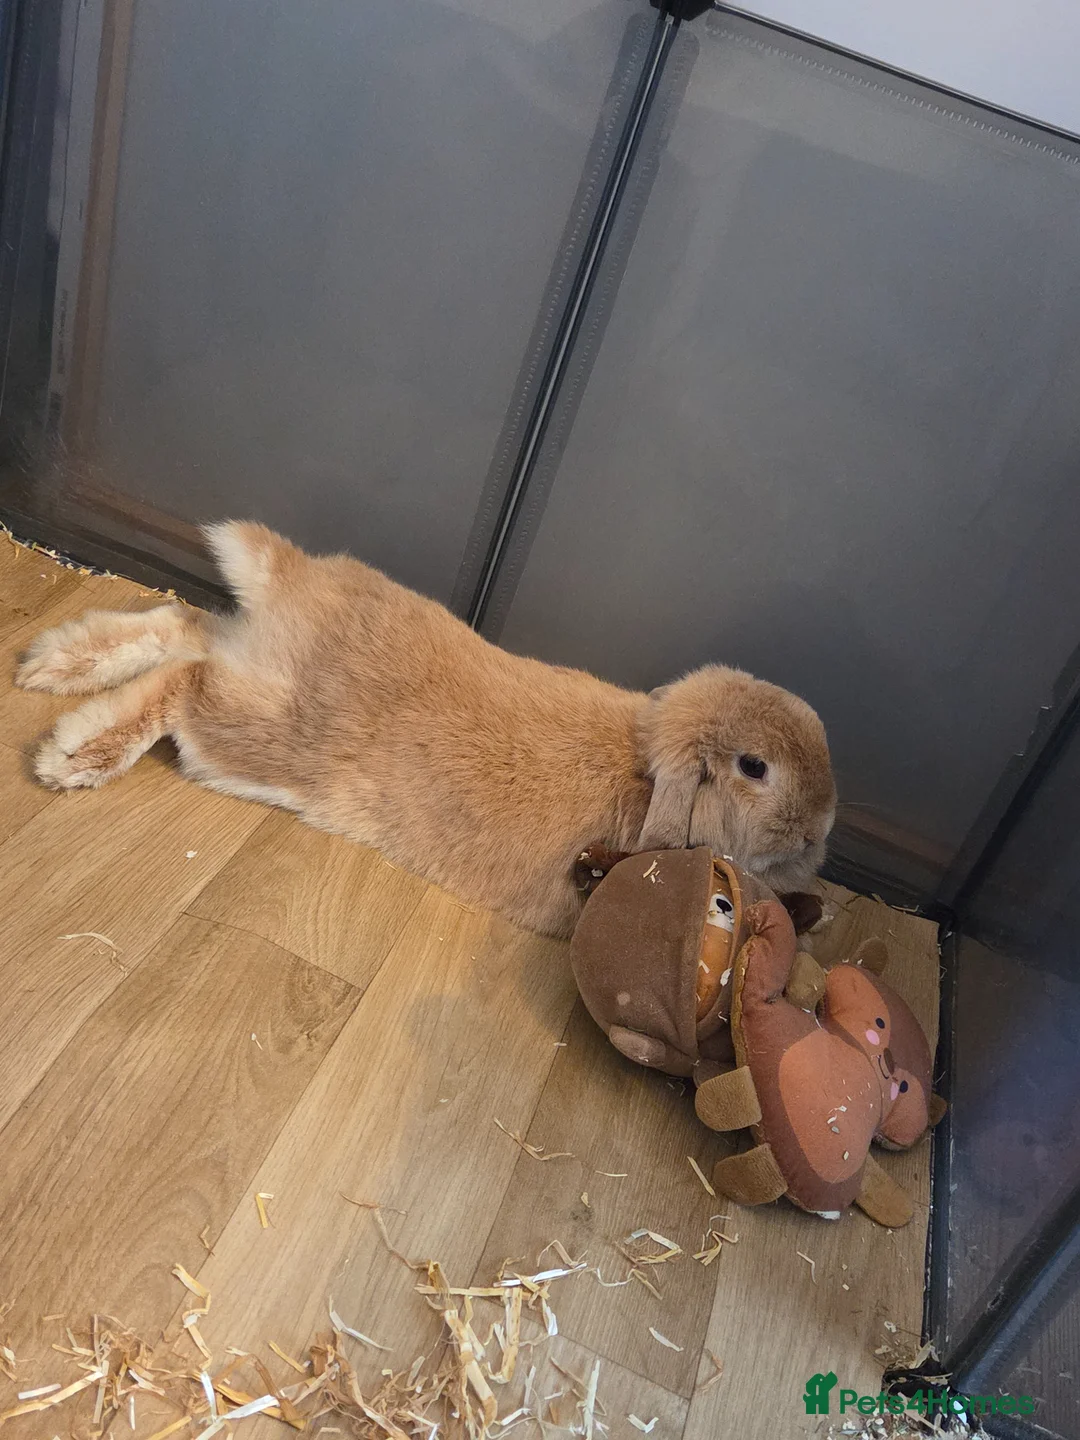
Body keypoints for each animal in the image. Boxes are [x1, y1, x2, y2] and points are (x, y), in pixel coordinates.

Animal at [16, 522, 836, 938]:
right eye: (755, 768)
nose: (820, 832)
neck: (646, 763)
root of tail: (298, 580)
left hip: (252, 669)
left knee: (182, 628)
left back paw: (57, 662)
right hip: (268, 741)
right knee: (186, 683)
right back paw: (75, 753)